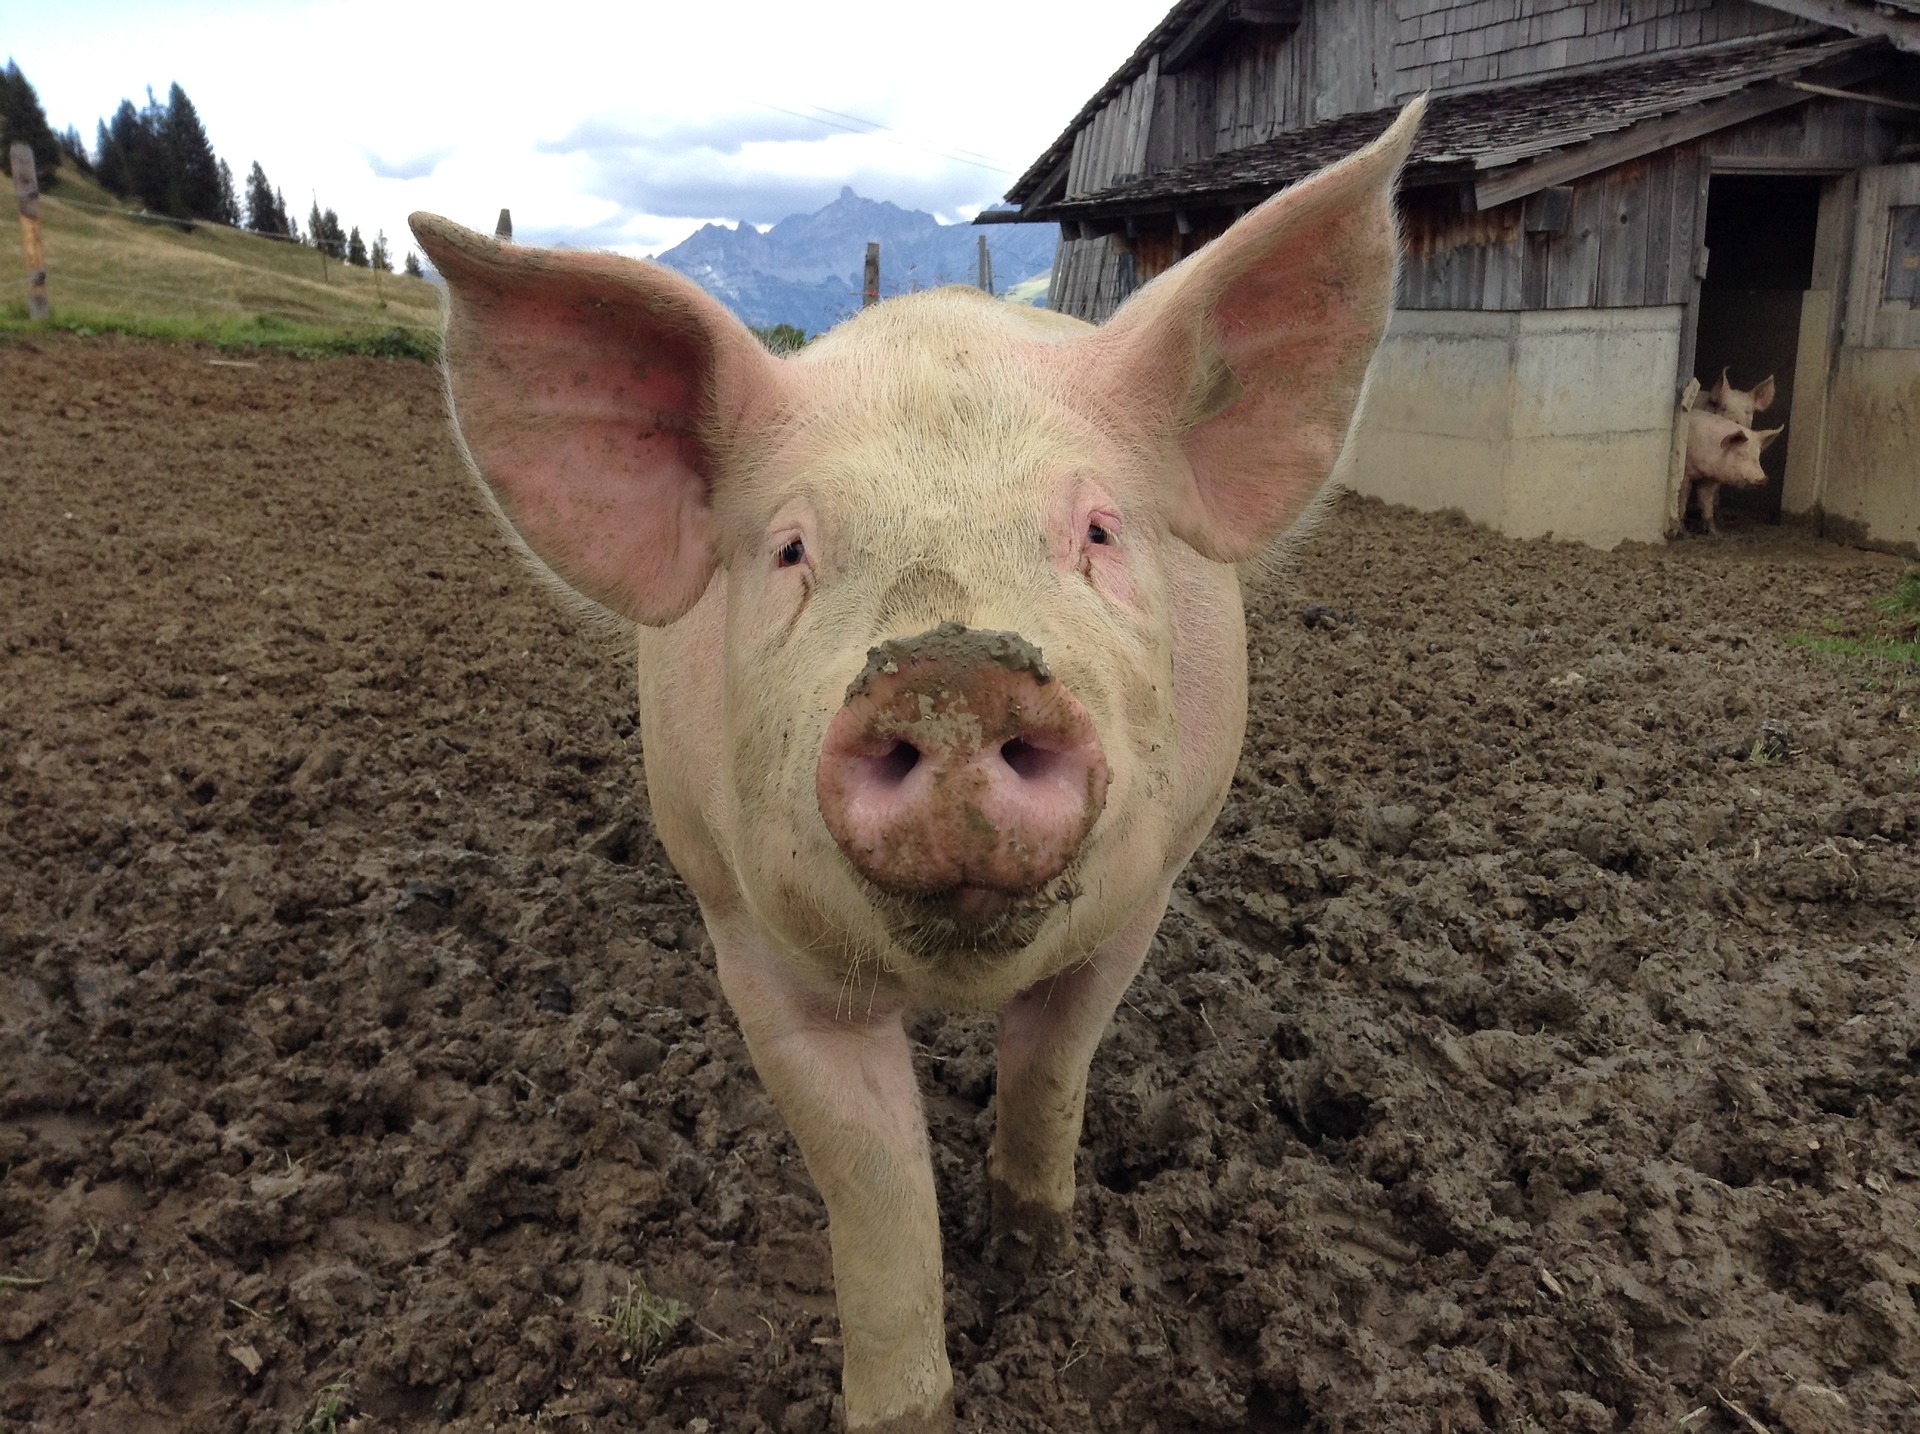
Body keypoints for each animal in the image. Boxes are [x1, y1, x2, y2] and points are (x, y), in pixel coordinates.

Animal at [408, 95, 1428, 1428]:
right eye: (792, 549)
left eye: (1099, 530)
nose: (952, 668)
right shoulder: (752, 941)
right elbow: (876, 1189)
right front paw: (909, 1401)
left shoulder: (1142, 893)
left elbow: (1053, 1065)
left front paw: (1035, 1260)